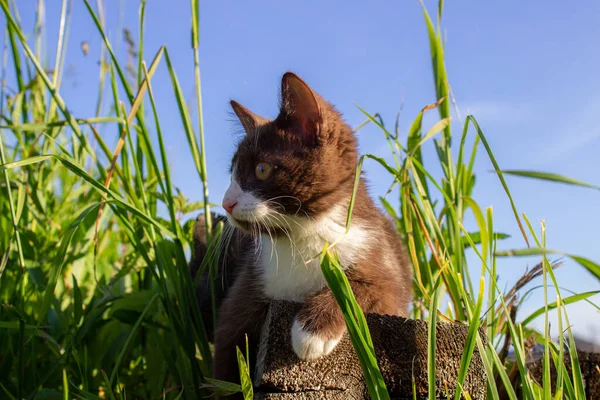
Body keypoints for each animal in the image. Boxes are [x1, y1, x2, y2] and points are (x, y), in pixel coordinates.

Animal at [207, 72, 412, 396]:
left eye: (262, 169)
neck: (299, 236)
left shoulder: (381, 264)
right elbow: (227, 355)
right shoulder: (251, 283)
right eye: (232, 173)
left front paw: (312, 331)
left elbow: (367, 286)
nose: (226, 203)